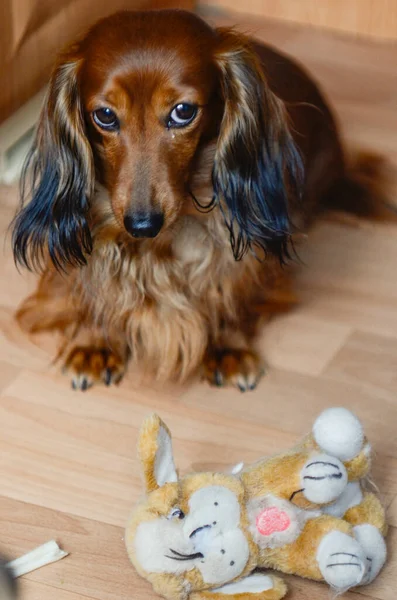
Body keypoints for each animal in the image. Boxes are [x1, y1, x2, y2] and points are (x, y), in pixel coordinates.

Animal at [10, 11, 388, 392]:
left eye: (183, 111)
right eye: (104, 115)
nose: (142, 224)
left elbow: (234, 287)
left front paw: (228, 345)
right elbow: (91, 285)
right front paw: (95, 342)